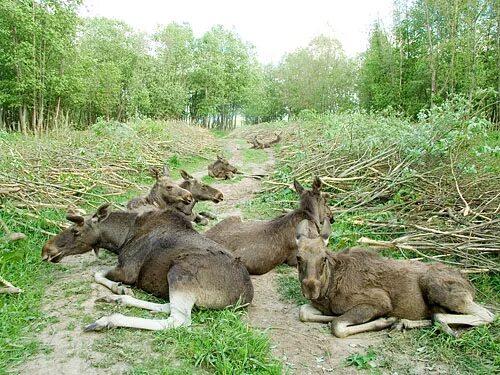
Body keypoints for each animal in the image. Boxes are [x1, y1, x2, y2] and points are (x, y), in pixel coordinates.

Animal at [42, 204, 254, 330]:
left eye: (75, 231)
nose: (46, 250)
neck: (120, 239)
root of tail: (246, 296)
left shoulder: (127, 270)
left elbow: (97, 273)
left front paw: (120, 288)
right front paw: (121, 292)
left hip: (180, 271)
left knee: (178, 320)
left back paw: (109, 318)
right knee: (168, 306)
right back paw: (118, 299)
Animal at [294, 219, 494, 340]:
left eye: (324, 258)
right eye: (298, 258)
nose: (310, 288)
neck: (327, 290)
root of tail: (470, 285)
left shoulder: (380, 302)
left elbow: (337, 325)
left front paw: (384, 321)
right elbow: (304, 312)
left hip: (438, 288)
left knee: (488, 314)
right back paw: (404, 323)